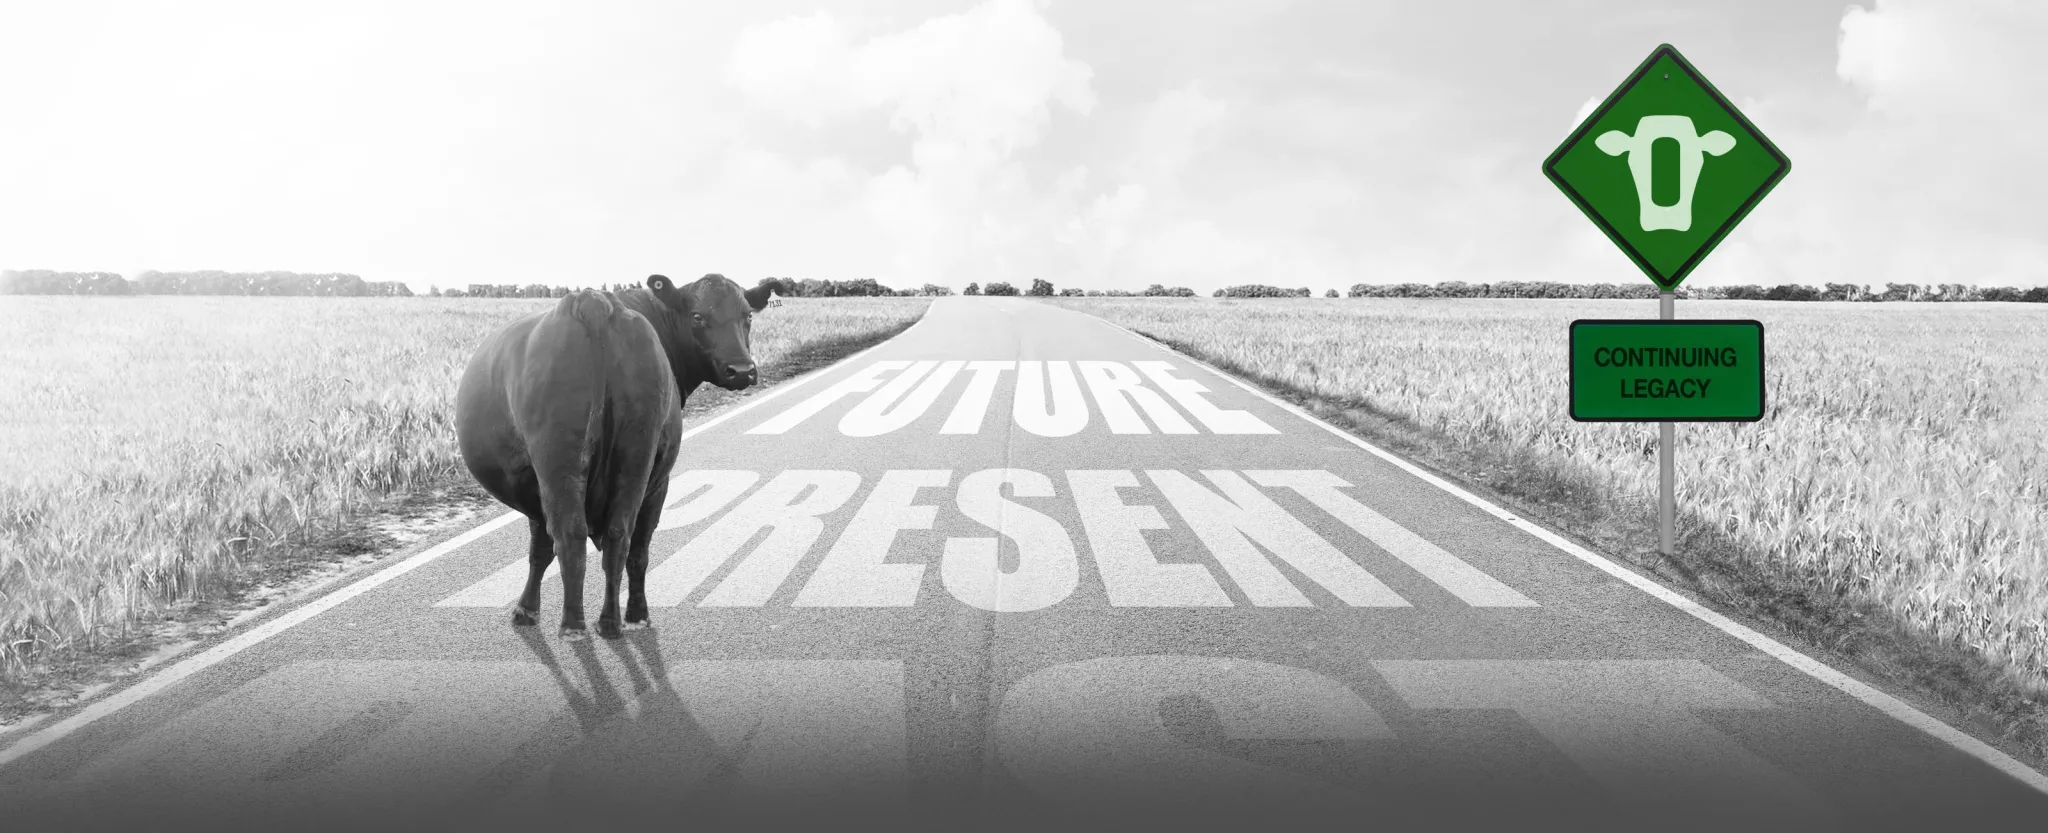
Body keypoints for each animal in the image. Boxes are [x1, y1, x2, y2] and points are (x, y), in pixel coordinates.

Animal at [456, 274, 774, 638]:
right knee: (618, 536)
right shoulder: (655, 481)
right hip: (633, 455)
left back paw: (579, 624)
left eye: (747, 316)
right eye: (697, 316)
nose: (742, 370)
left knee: (573, 535)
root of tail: (593, 302)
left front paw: (526, 610)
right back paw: (610, 621)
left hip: (564, 463)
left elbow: (543, 548)